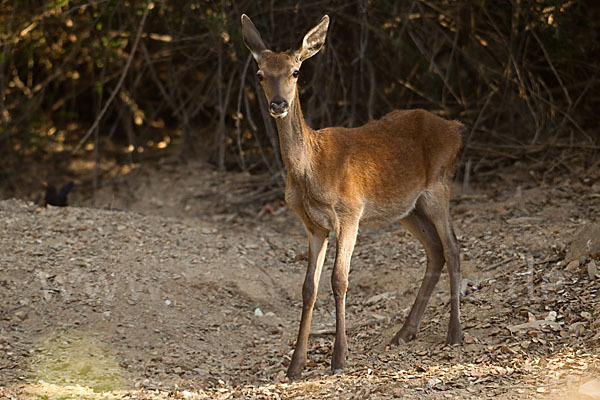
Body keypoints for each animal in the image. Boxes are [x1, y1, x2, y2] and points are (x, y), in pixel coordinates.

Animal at [241, 14, 466, 380]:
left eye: (295, 71)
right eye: (260, 74)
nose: (278, 104)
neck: (312, 173)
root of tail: (458, 129)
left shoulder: (349, 212)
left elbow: (339, 279)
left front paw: (339, 359)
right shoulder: (312, 225)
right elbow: (308, 286)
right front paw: (295, 365)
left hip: (439, 184)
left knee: (453, 247)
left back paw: (454, 333)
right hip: (406, 208)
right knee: (435, 250)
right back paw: (404, 332)